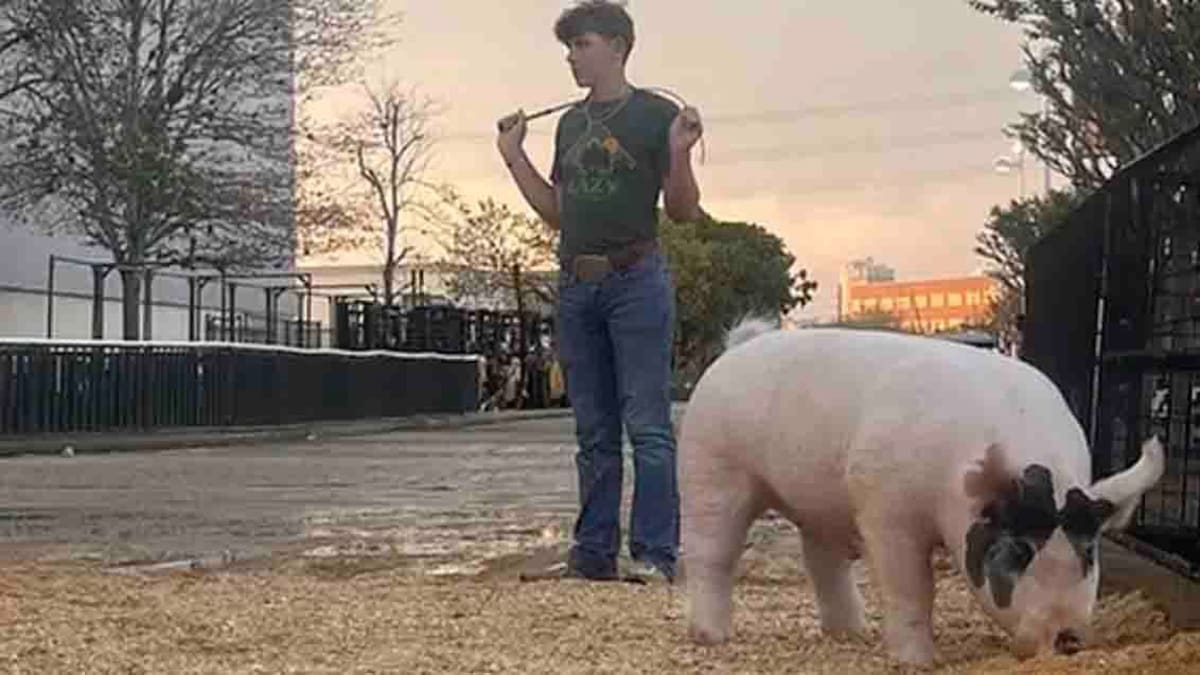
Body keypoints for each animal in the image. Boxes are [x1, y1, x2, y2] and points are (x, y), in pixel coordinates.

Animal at [679, 320, 1164, 665]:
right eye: (1020, 551)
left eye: (1089, 552)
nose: (1068, 637)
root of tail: (736, 348)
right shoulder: (885, 507)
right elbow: (911, 586)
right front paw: (919, 662)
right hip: (710, 465)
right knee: (711, 552)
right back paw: (712, 636)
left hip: (819, 501)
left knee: (822, 559)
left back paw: (853, 633)